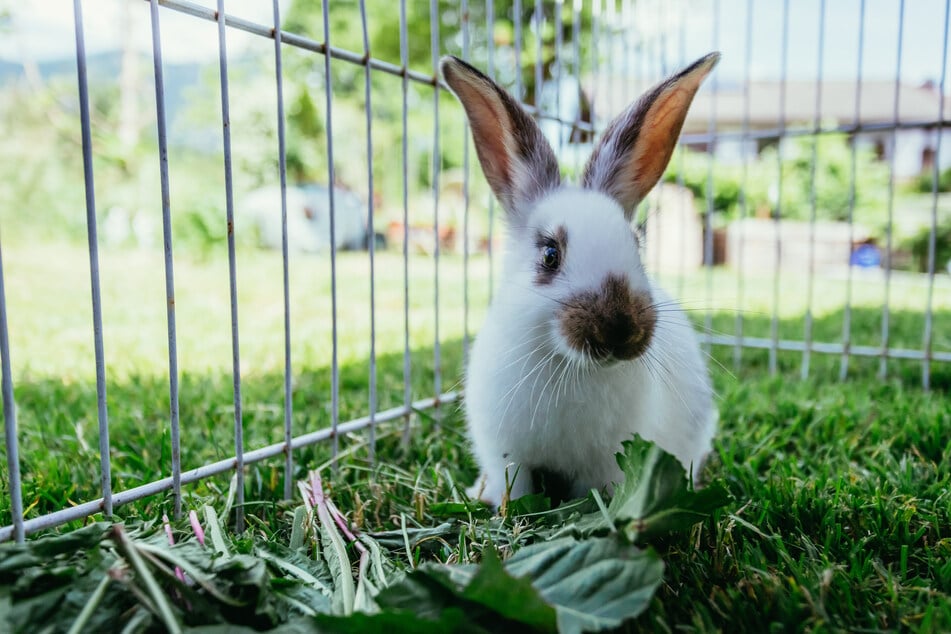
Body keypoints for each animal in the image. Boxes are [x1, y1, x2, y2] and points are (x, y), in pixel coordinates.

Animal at [440, 51, 720, 506]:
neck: (569, 367)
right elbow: (514, 487)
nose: (620, 330)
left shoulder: (607, 462)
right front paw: (503, 506)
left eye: (637, 244)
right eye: (550, 255)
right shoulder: (506, 454)